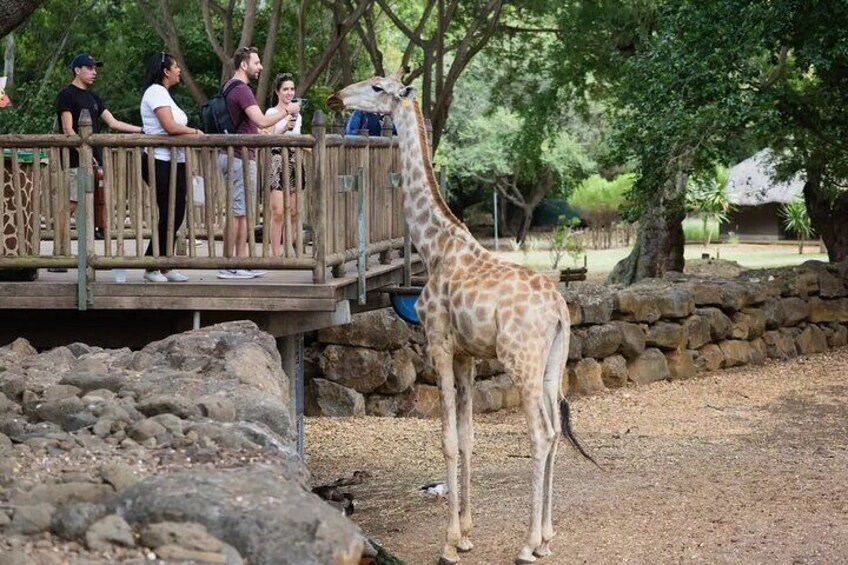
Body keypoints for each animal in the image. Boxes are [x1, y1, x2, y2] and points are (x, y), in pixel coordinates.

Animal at [328, 70, 592, 564]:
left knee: (543, 433)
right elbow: (469, 437)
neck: (435, 245)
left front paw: (449, 543)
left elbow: (448, 439)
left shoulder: (438, 342)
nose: (336, 96)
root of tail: (559, 310)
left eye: (377, 87)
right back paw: (547, 537)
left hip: (521, 361)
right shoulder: (469, 354)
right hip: (553, 363)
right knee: (555, 434)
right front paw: (467, 532)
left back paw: (528, 544)